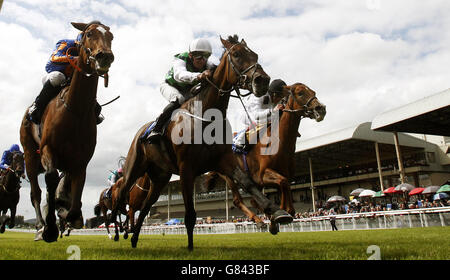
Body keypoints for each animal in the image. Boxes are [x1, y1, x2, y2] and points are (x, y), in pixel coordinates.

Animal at [19, 20, 114, 242]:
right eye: (89, 34)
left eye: (111, 36)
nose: (105, 56)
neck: (76, 111)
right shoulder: (48, 149)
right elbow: (51, 180)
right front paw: (50, 228)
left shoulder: (81, 160)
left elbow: (76, 188)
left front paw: (67, 213)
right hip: (29, 155)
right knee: (36, 192)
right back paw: (40, 226)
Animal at [109, 35, 286, 249]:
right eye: (236, 54)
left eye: (255, 55)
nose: (263, 80)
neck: (207, 117)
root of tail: (141, 132)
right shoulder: (187, 168)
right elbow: (190, 215)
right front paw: (190, 247)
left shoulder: (224, 160)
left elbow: (248, 183)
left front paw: (278, 212)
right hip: (133, 169)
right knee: (120, 198)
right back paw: (117, 230)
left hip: (160, 177)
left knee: (144, 207)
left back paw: (134, 238)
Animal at [206, 82, 326, 233]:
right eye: (300, 93)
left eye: (313, 91)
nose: (321, 109)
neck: (280, 142)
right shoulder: (262, 175)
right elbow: (283, 183)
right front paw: (279, 217)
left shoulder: (282, 176)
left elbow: (285, 187)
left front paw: (277, 219)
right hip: (229, 176)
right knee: (238, 200)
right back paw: (258, 220)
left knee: (252, 200)